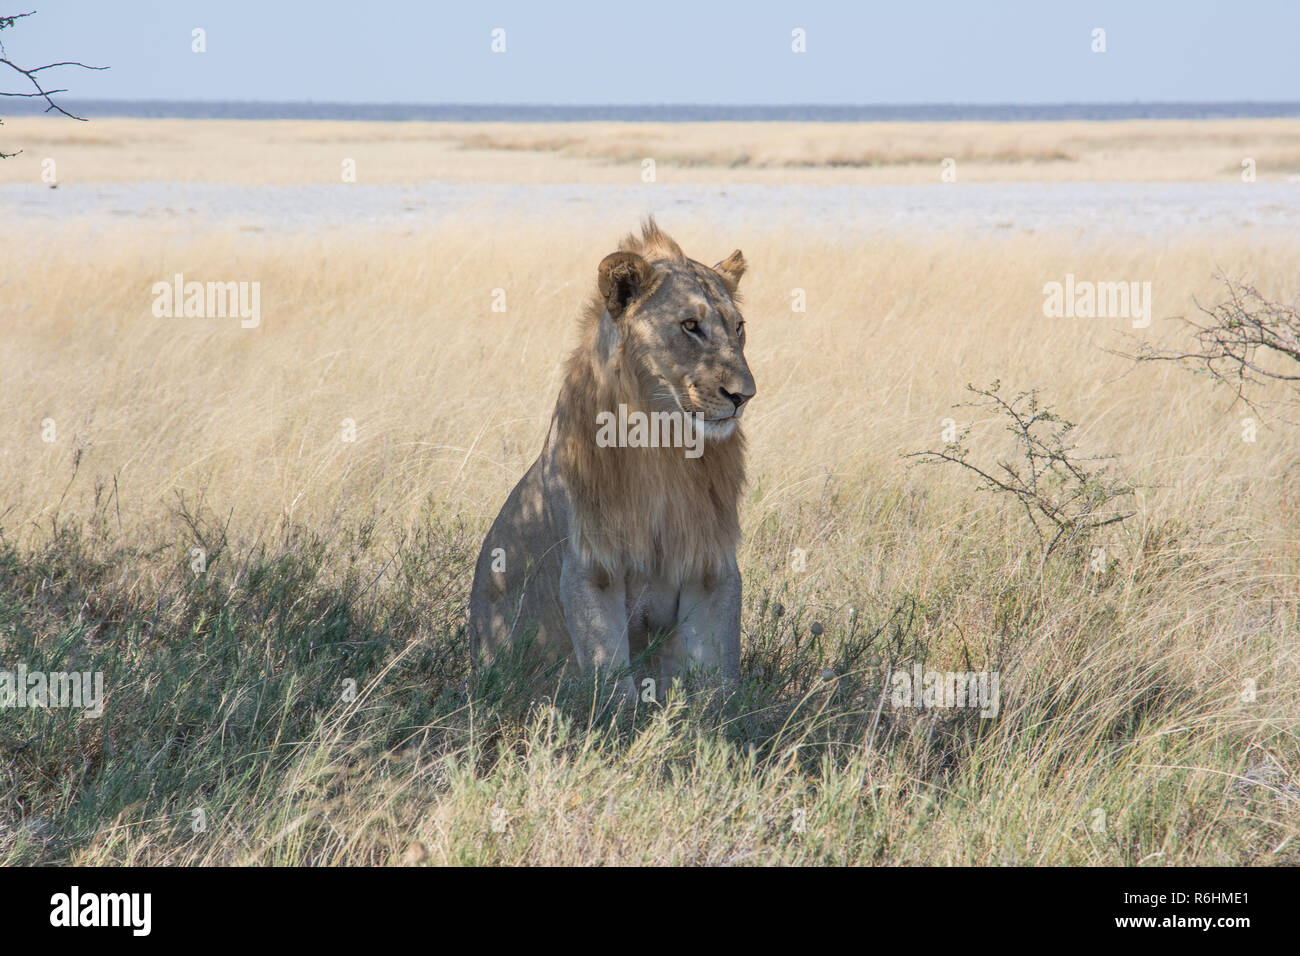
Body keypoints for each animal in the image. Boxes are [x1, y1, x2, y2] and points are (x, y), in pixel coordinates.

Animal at [470, 222, 759, 702]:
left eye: (738, 328)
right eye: (690, 326)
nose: (743, 396)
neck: (663, 442)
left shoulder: (711, 568)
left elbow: (718, 679)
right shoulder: (591, 569)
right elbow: (611, 679)